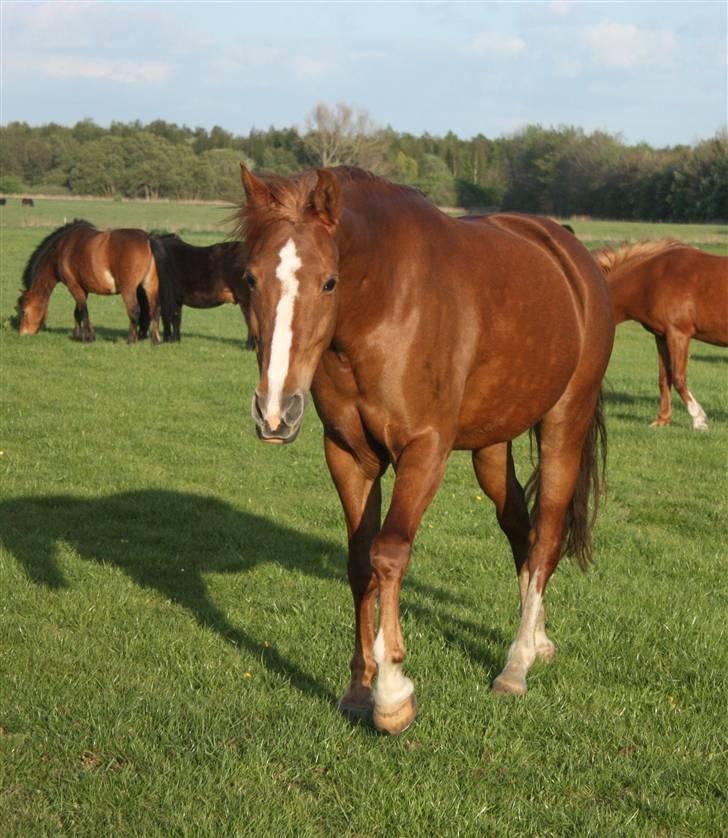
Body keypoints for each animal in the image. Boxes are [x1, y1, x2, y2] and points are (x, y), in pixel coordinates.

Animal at [15, 221, 161, 346]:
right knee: (154, 310)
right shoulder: (82, 289)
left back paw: (131, 340)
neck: (63, 247)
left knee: (134, 311)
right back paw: (155, 340)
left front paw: (88, 337)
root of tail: (147, 239)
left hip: (128, 289)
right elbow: (77, 312)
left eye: (23, 311)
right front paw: (77, 335)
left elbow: (83, 311)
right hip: (150, 287)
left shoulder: (73, 286)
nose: (22, 334)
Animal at [237, 167, 616, 740]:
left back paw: (516, 664)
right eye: (250, 279)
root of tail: (573, 255)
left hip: (563, 426)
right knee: (522, 535)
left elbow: (389, 553)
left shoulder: (425, 450)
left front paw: (392, 694)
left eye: (329, 282)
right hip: (491, 447)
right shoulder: (349, 454)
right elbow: (359, 562)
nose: (275, 411)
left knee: (548, 537)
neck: (387, 305)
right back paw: (538, 640)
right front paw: (357, 688)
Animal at [596, 240, 724, 430]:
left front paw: (698, 419)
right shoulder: (662, 336)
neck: (652, 279)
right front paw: (662, 420)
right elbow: (664, 378)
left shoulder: (678, 334)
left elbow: (678, 377)